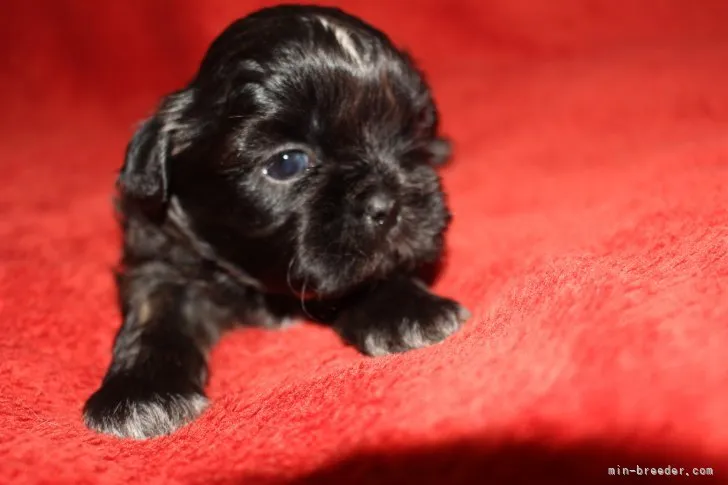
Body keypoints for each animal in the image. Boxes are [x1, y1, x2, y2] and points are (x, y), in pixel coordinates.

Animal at [82, 4, 470, 438]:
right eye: (287, 163)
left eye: (408, 137)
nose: (388, 203)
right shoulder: (161, 257)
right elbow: (152, 316)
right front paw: (141, 391)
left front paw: (405, 307)